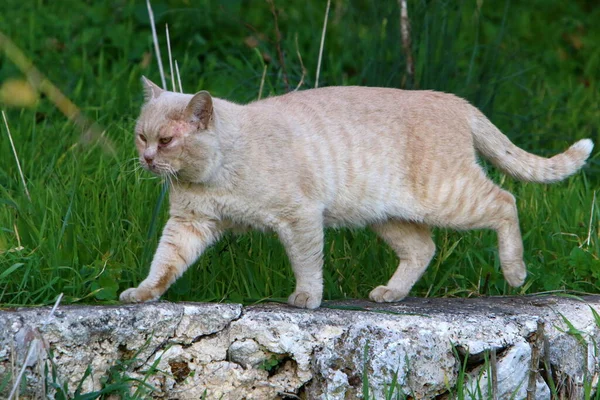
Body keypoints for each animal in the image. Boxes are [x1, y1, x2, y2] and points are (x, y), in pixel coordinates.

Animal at [119, 78, 592, 310]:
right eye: (141, 136)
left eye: (166, 141)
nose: (146, 159)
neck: (216, 169)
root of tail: (455, 101)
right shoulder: (189, 225)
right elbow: (164, 264)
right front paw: (143, 294)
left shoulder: (300, 217)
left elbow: (307, 265)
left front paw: (307, 300)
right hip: (389, 217)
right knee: (423, 249)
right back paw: (392, 293)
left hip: (449, 197)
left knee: (506, 203)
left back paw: (515, 273)